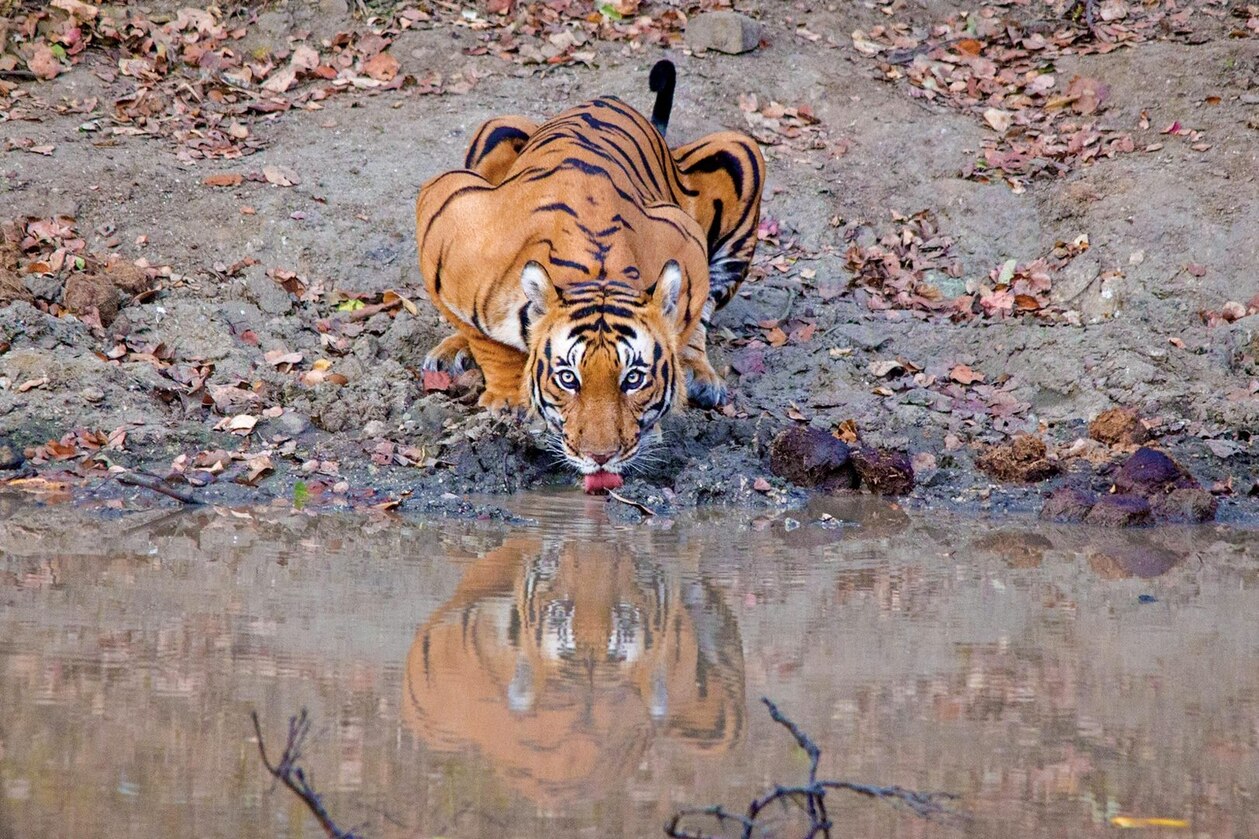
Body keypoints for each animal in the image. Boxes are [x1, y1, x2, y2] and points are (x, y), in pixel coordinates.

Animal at [415, 59, 764, 488]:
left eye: (633, 379)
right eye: (568, 379)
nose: (600, 457)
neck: (595, 272)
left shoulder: (688, 246)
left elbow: (683, 328)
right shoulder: (445, 213)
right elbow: (485, 339)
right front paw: (506, 399)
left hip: (742, 151)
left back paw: (700, 375)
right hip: (496, 126)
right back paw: (450, 353)